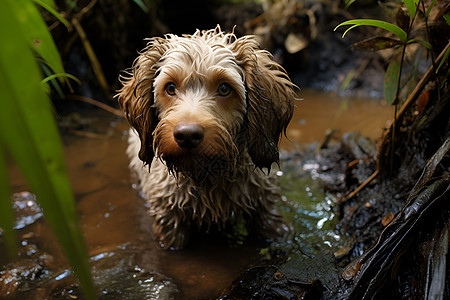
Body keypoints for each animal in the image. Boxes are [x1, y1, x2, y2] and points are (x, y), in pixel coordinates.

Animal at [118, 27, 298, 250]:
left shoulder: (264, 207)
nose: (187, 135)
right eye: (170, 87)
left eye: (224, 88)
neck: (207, 176)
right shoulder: (169, 220)